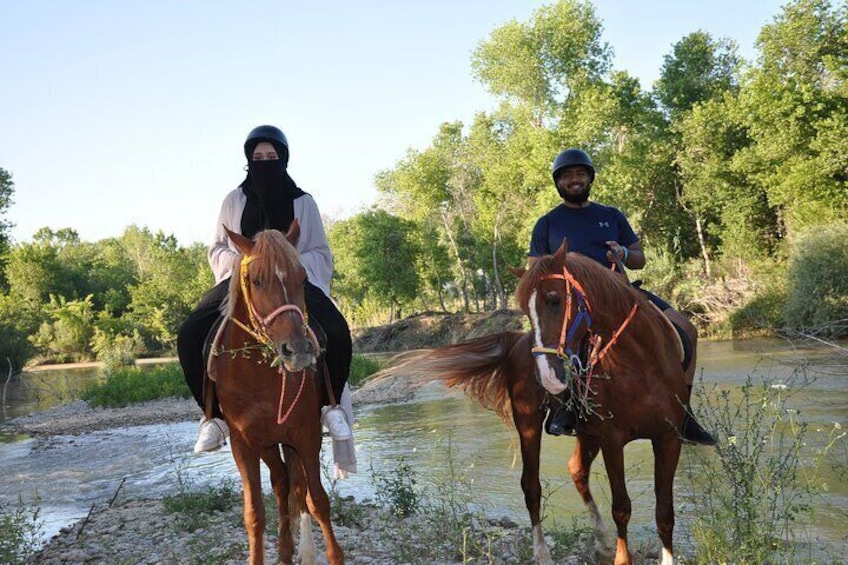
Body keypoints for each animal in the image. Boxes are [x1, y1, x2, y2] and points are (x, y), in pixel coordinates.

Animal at [210, 224, 342, 564]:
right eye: (256, 279)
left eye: (302, 278)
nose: (297, 350)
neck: (259, 380)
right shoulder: (243, 444)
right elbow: (254, 513)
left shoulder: (306, 434)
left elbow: (317, 501)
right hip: (267, 444)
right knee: (282, 482)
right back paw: (284, 550)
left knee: (294, 487)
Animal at [414, 240, 692, 560]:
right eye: (526, 309)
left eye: (555, 300)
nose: (547, 374)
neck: (640, 362)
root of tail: (516, 342)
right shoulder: (613, 440)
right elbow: (621, 507)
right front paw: (622, 557)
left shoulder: (668, 438)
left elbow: (665, 512)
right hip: (529, 422)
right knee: (531, 486)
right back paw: (542, 552)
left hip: (587, 433)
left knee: (577, 470)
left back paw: (601, 538)